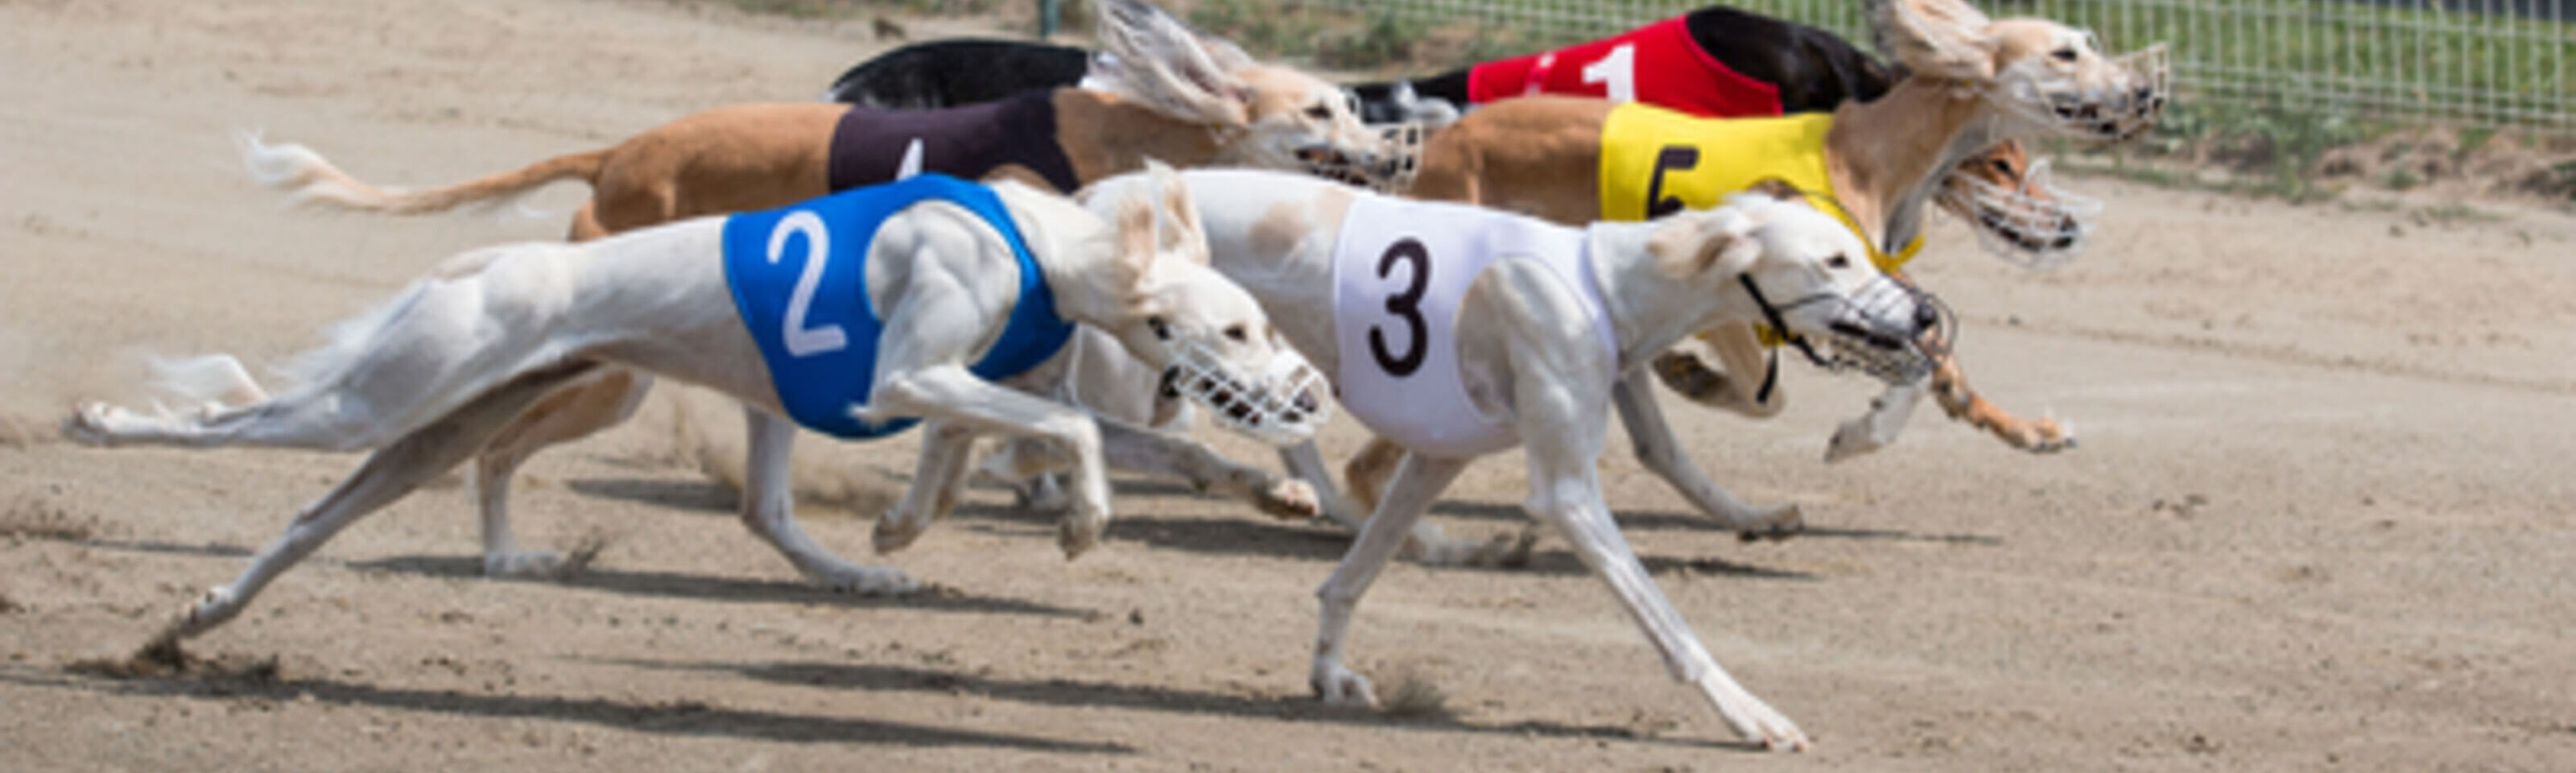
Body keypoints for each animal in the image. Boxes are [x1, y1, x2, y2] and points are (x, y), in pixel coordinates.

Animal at [63, 167, 1329, 647]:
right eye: (1237, 330)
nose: (1308, 395)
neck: (1038, 240)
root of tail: (490, 263)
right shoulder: (904, 380)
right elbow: (1069, 430)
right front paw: (1082, 522)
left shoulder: (964, 389)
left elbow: (1140, 444)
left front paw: (1268, 491)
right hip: (389, 400)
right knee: (235, 421)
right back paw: (102, 426)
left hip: (440, 429)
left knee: (307, 520)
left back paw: (200, 619)